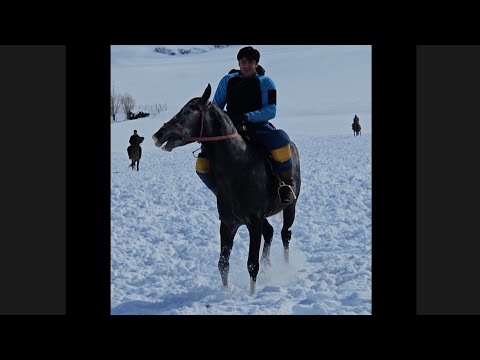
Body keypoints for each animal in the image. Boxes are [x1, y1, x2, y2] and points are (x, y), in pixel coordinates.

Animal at [152, 84, 300, 296]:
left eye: (188, 111)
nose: (159, 134)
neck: (238, 165)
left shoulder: (253, 222)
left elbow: (252, 264)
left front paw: (252, 294)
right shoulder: (228, 223)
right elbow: (223, 263)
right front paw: (225, 290)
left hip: (290, 207)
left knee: (285, 234)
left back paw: (286, 267)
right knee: (270, 232)